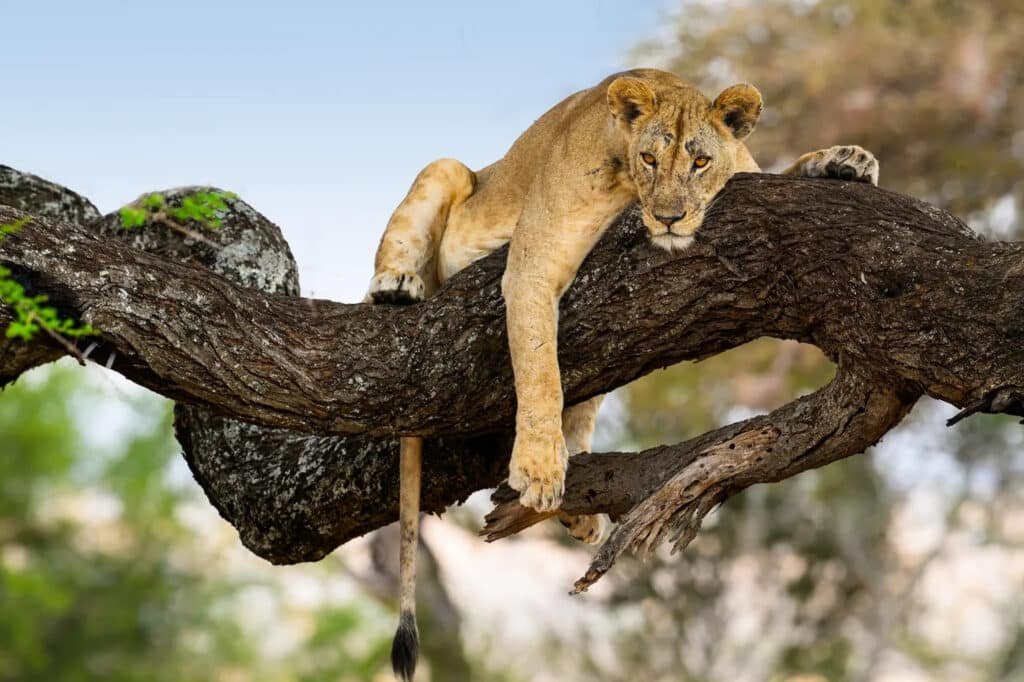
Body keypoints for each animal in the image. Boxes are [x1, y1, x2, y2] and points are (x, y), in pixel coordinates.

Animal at [366, 68, 879, 680]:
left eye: (700, 162)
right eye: (650, 159)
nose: (670, 218)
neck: (630, 187)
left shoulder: (748, 175)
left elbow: (784, 169)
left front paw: (845, 160)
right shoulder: (530, 268)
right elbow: (540, 369)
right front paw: (539, 468)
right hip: (446, 172)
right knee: (400, 242)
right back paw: (396, 287)